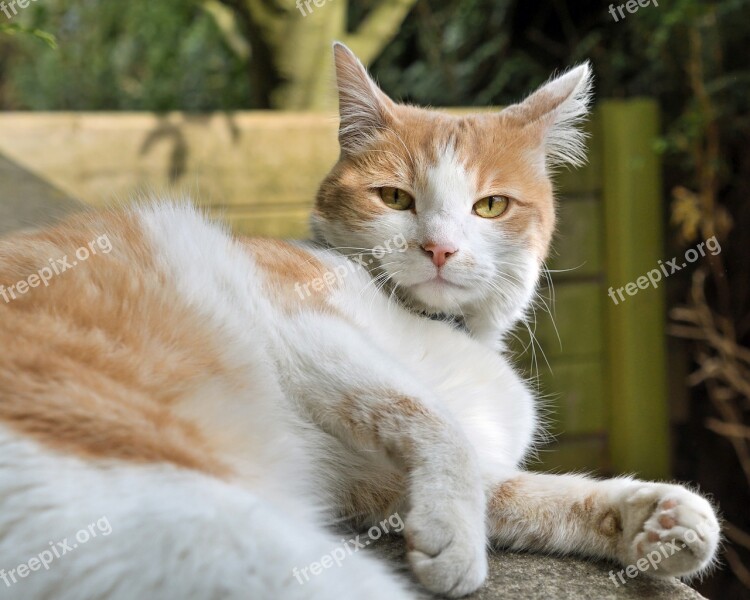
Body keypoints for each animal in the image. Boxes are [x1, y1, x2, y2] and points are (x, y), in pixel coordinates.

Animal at [0, 43, 720, 600]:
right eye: (394, 198)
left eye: (491, 205)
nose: (439, 248)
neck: (444, 329)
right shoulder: (302, 329)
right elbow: (435, 422)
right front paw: (456, 542)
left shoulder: (370, 483)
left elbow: (520, 492)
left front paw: (652, 518)